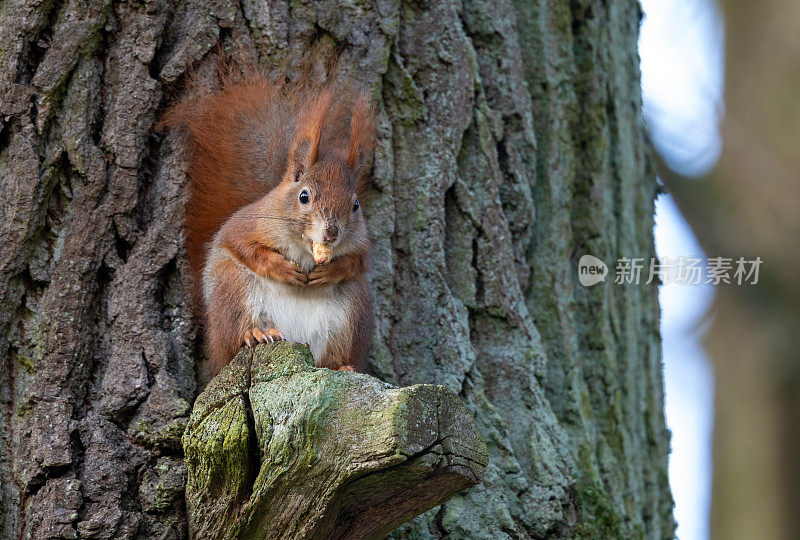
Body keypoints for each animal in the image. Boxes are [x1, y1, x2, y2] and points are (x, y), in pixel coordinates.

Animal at [164, 67, 376, 374]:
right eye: (304, 196)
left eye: (355, 205)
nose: (331, 233)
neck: (304, 247)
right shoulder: (246, 224)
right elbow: (242, 245)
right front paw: (281, 268)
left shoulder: (361, 243)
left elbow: (357, 262)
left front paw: (330, 271)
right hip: (233, 288)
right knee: (237, 334)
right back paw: (255, 333)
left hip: (350, 312)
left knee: (331, 356)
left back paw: (340, 367)